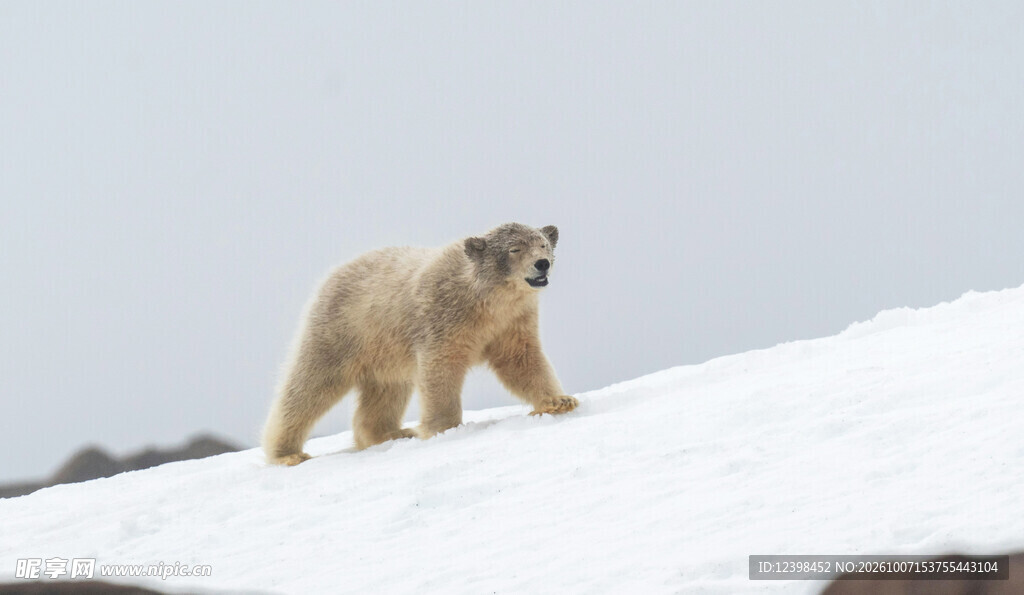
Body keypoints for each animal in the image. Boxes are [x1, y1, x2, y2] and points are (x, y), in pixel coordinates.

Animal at [262, 222, 577, 465]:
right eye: (514, 249)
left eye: (543, 244)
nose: (542, 264)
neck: (483, 300)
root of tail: (332, 275)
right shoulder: (442, 314)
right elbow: (441, 367)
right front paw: (445, 428)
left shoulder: (511, 322)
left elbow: (522, 361)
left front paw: (559, 401)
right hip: (343, 330)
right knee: (311, 384)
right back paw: (287, 453)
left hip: (385, 350)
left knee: (387, 390)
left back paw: (393, 433)